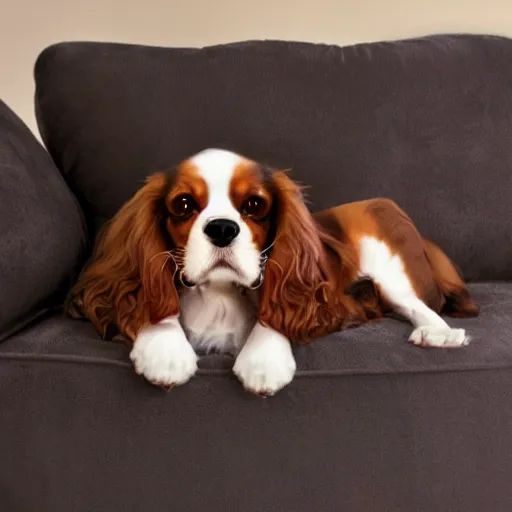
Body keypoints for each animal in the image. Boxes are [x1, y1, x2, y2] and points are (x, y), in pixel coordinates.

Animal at [66, 148, 478, 396]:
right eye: (183, 204)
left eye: (254, 205)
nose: (222, 228)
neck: (219, 292)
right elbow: (152, 303)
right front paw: (164, 348)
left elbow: (276, 314)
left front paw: (262, 360)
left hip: (387, 268)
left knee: (416, 305)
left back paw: (438, 334)